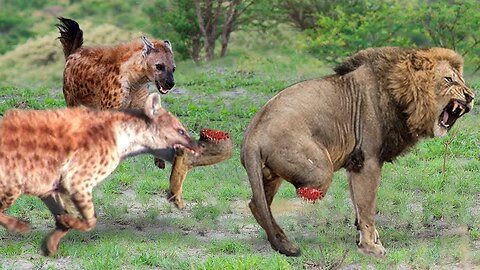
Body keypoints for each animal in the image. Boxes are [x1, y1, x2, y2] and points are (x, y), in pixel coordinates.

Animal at [242, 47, 474, 258]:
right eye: (449, 80)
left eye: (461, 80)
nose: (471, 96)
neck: (402, 95)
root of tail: (253, 135)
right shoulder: (368, 161)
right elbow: (367, 207)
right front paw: (371, 247)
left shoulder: (355, 163)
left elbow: (358, 203)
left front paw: (365, 237)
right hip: (319, 172)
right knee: (269, 202)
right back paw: (285, 243)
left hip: (272, 173)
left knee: (257, 204)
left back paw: (283, 242)